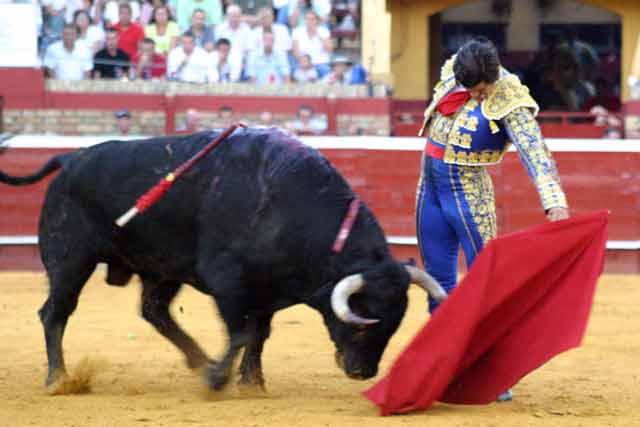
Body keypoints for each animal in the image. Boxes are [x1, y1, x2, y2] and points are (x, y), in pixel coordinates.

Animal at [0, 129, 448, 392]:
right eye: (360, 324)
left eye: (394, 327)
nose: (363, 373)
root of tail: (70, 158)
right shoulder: (226, 279)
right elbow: (240, 331)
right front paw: (221, 378)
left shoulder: (269, 289)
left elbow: (259, 334)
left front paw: (251, 382)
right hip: (69, 259)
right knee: (55, 312)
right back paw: (58, 378)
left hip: (161, 267)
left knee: (154, 311)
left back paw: (198, 360)